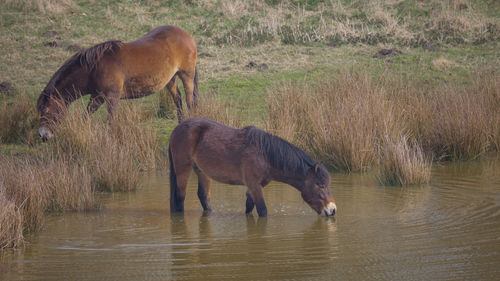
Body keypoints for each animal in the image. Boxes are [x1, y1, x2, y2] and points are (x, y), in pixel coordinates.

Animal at [36, 25, 197, 140]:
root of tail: (186, 35)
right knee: (178, 99)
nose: (43, 135)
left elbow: (111, 120)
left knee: (189, 102)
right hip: (170, 79)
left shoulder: (111, 97)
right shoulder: (97, 97)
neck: (94, 68)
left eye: (47, 111)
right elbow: (86, 115)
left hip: (186, 75)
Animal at [168, 117, 336, 217]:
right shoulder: (254, 184)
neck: (264, 154)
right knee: (180, 196)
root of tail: (177, 128)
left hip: (202, 171)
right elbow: (262, 210)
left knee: (203, 197)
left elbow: (249, 207)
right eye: (320, 185)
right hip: (183, 168)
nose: (332, 209)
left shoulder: (255, 185)